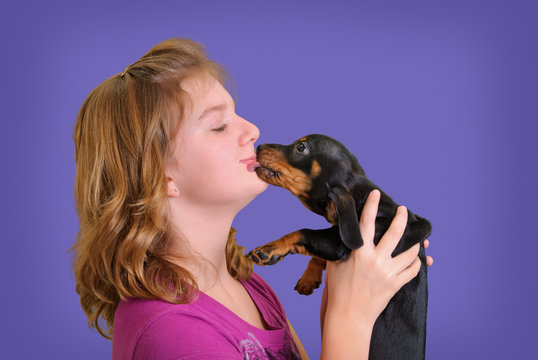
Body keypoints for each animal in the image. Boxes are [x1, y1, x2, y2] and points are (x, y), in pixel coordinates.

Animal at [248, 134, 432, 360]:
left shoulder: (343, 242)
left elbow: (304, 232)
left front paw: (269, 249)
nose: (259, 146)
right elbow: (317, 251)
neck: (363, 200)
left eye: (301, 147)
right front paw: (309, 278)